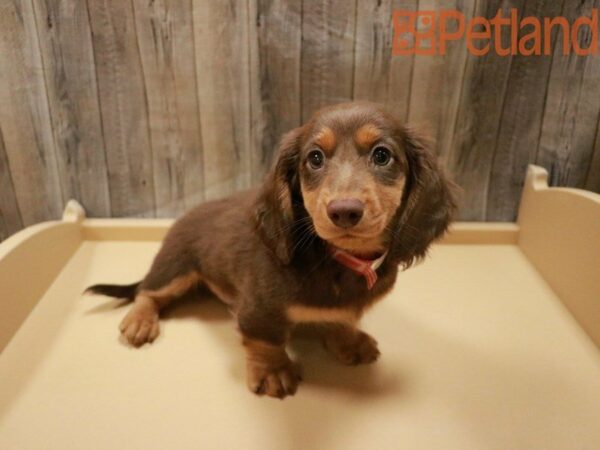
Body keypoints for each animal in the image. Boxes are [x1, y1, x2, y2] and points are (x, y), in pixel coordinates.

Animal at [86, 101, 458, 398]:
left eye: (382, 155)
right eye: (315, 158)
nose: (344, 211)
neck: (337, 259)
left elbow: (343, 319)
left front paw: (349, 341)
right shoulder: (259, 308)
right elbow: (266, 340)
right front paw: (273, 371)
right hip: (175, 267)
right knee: (148, 292)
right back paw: (139, 321)